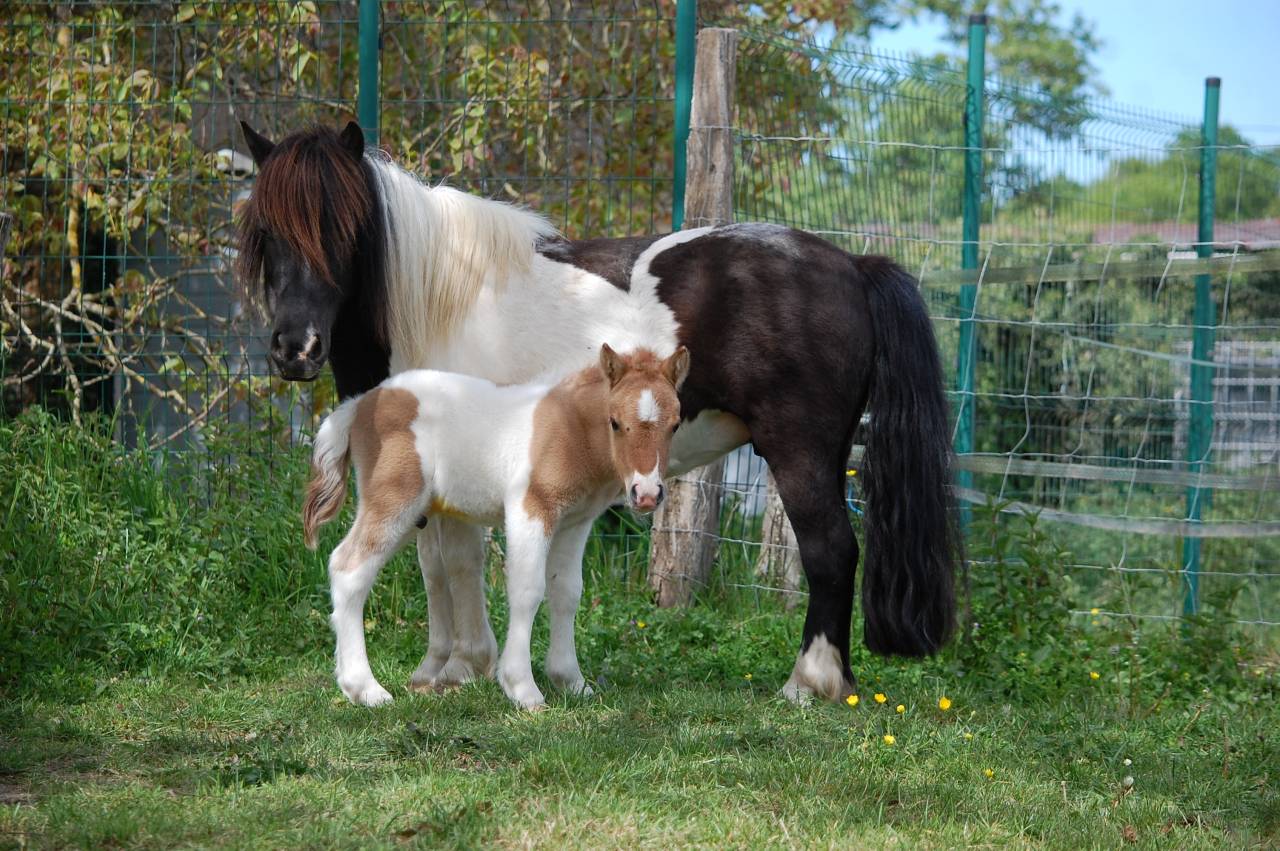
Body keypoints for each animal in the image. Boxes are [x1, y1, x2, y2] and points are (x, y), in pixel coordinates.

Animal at [302, 344, 689, 709]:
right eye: (615, 422)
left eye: (675, 425)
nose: (646, 494)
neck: (570, 430)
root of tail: (360, 404)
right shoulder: (528, 510)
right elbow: (527, 590)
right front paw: (523, 688)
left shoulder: (575, 523)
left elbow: (567, 593)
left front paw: (572, 682)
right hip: (395, 498)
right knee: (348, 568)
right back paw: (365, 689)